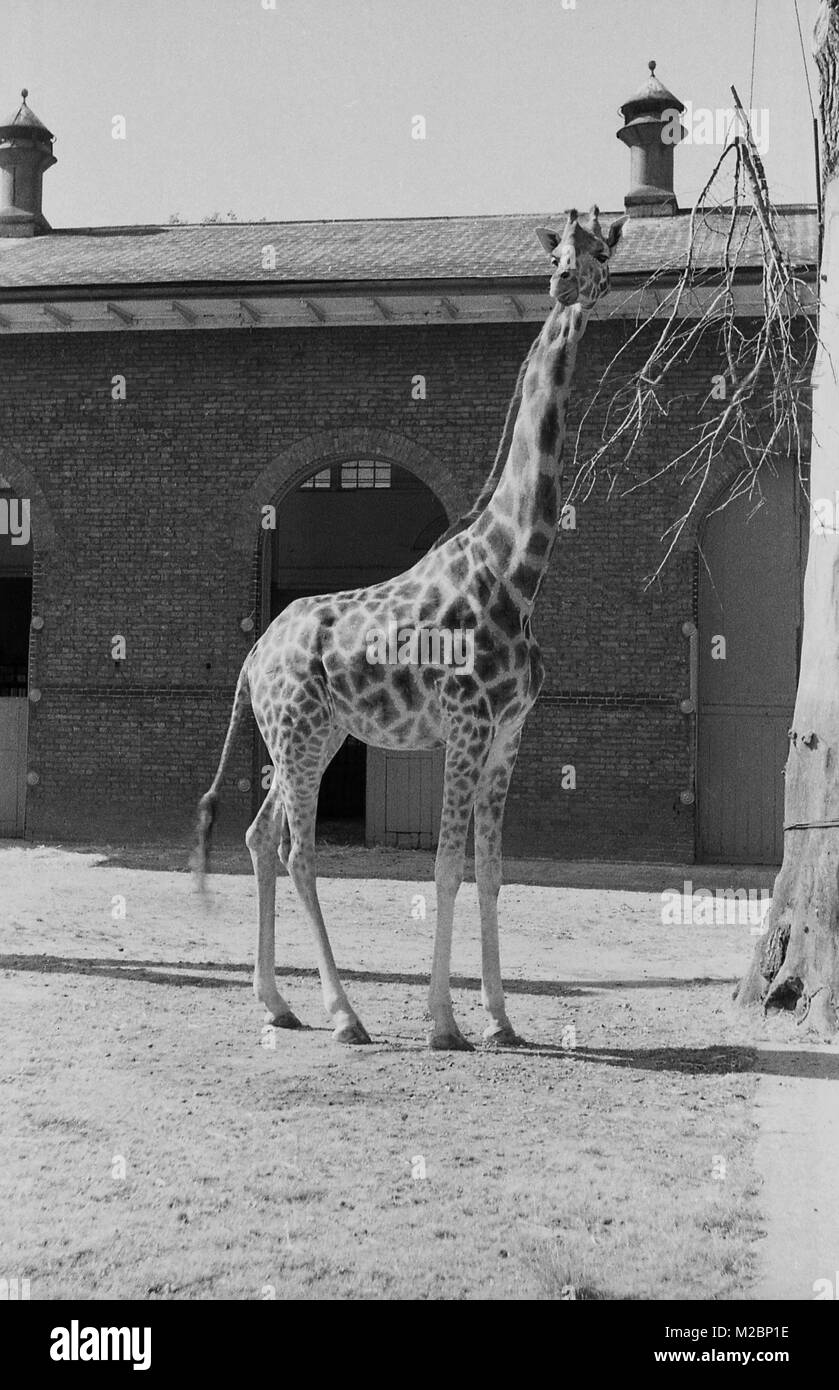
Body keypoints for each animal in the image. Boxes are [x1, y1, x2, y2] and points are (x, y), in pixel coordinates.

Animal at [194, 205, 622, 1045]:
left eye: (597, 249)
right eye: (555, 250)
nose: (564, 283)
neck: (516, 569)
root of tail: (254, 655)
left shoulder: (511, 731)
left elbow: (492, 870)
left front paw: (501, 1019)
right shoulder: (464, 724)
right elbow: (446, 866)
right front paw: (443, 1022)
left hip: (313, 735)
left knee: (259, 837)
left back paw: (278, 1001)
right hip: (297, 731)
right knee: (295, 849)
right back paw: (344, 1014)